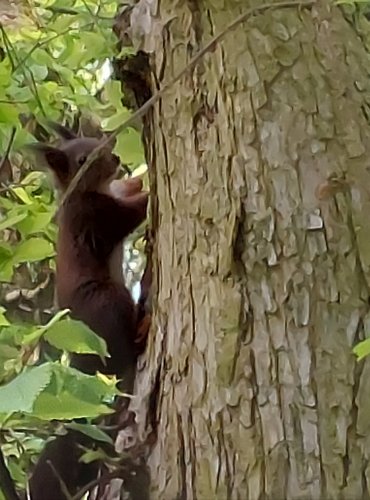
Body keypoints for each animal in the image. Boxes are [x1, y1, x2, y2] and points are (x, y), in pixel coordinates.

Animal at [26, 123, 150, 500]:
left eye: (101, 141)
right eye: (83, 159)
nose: (116, 158)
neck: (85, 191)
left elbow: (128, 189)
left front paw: (137, 176)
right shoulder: (99, 217)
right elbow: (134, 212)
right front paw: (149, 187)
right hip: (108, 301)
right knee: (123, 353)